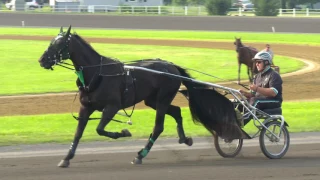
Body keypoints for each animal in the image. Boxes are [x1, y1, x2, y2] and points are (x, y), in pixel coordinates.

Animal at [37, 26, 248, 168]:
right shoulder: (85, 107)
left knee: (158, 127)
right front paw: (66, 158)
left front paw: (123, 132)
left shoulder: (112, 106)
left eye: (59, 43)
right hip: (153, 100)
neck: (98, 74)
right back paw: (184, 139)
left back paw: (140, 154)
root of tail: (171, 66)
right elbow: (78, 133)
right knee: (176, 112)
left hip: (162, 99)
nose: (42, 60)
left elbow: (99, 129)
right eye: (51, 41)